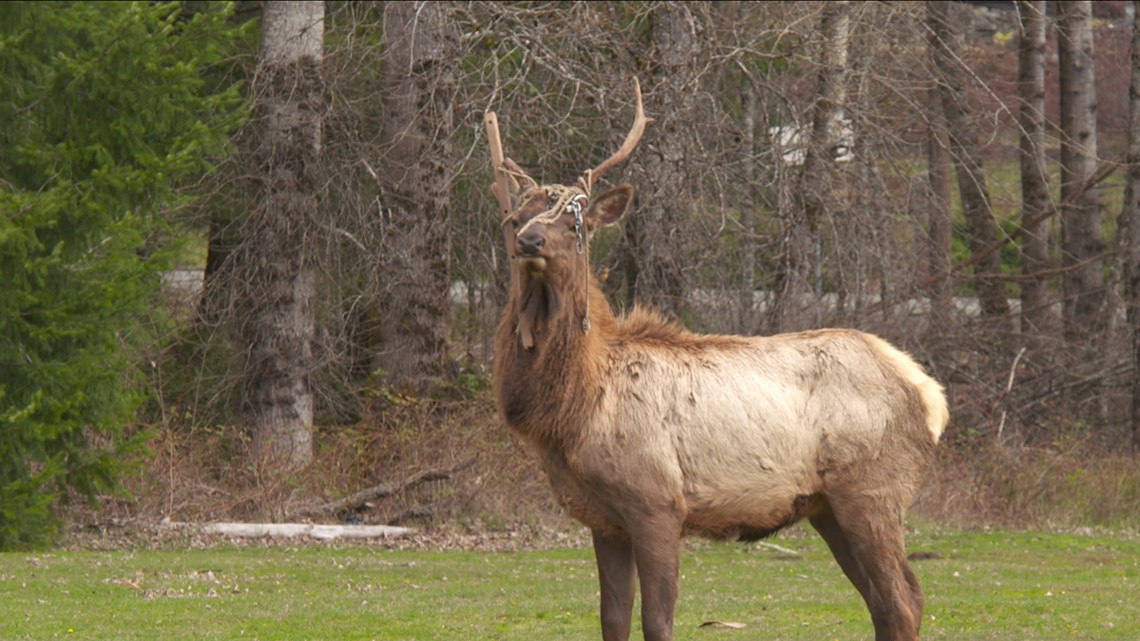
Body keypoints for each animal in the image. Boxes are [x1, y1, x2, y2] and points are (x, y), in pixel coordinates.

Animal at [484, 78, 949, 641]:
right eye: (517, 215)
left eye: (576, 223)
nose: (528, 240)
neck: (576, 405)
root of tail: (931, 395)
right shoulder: (603, 519)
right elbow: (612, 620)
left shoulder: (658, 501)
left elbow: (658, 621)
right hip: (828, 507)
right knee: (884, 604)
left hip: (874, 490)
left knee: (904, 599)